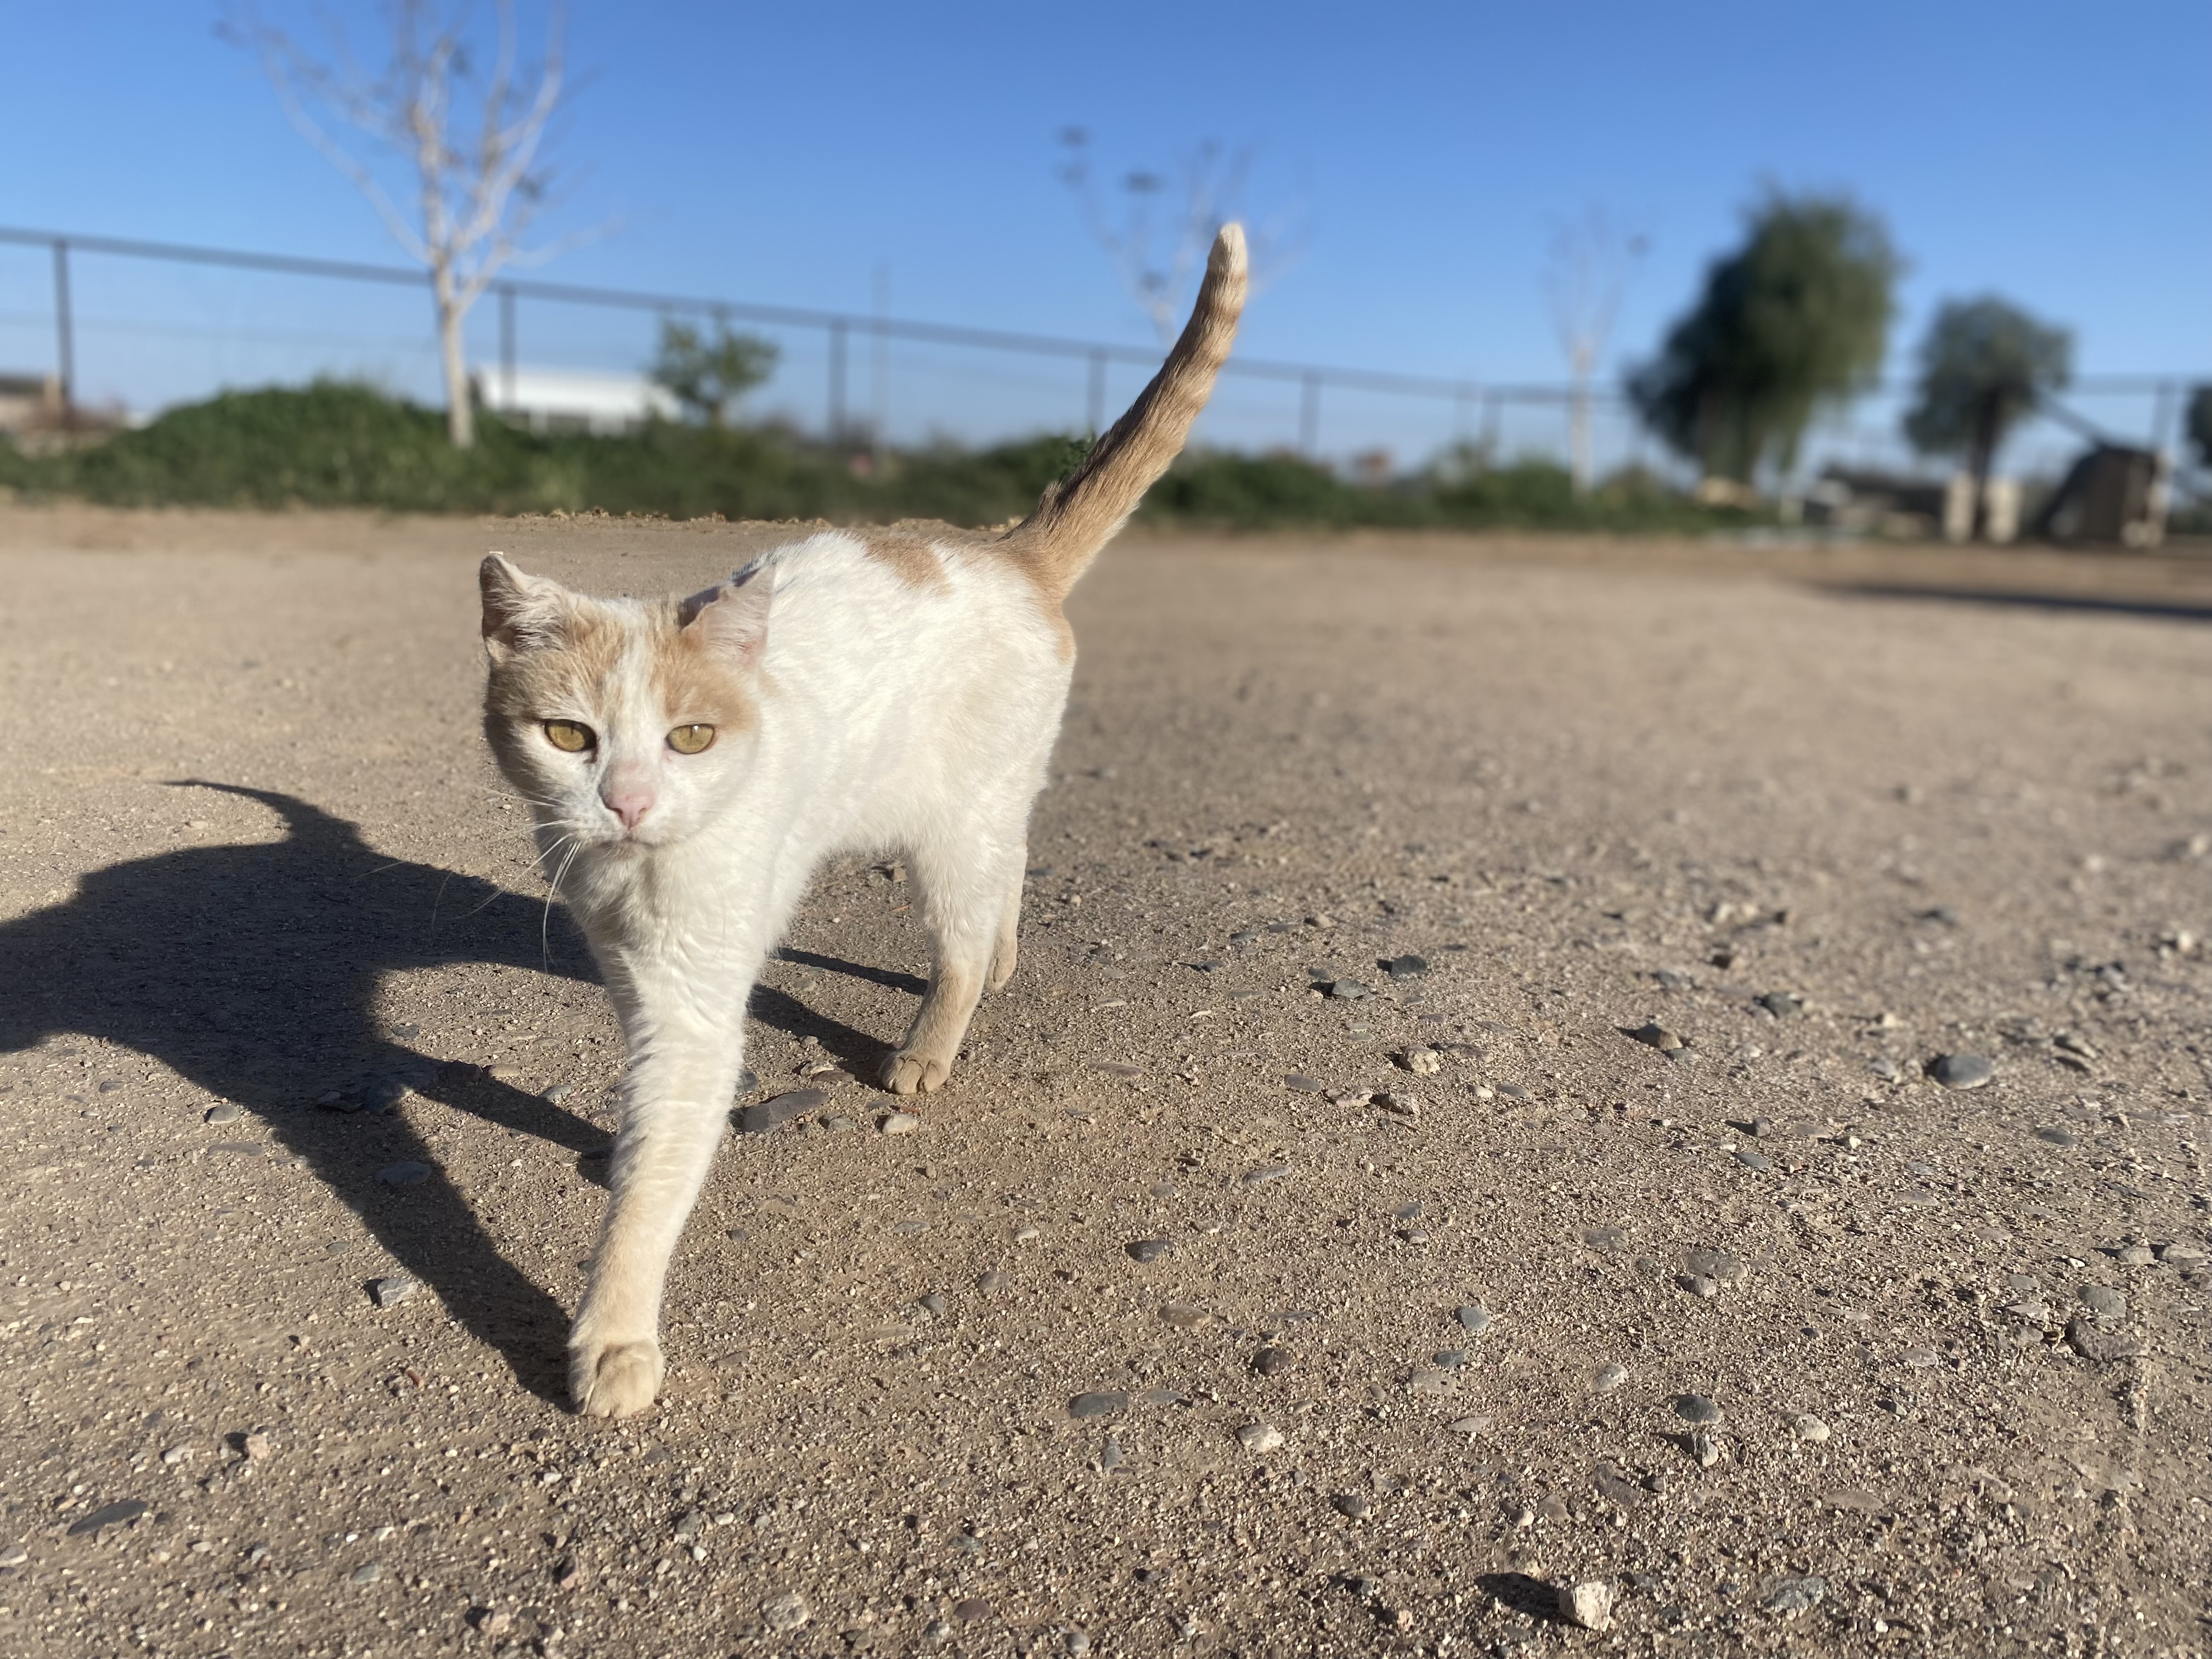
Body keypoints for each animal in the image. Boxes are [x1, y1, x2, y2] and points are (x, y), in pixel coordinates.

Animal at [478, 225, 1246, 1417]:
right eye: (570, 736)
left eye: (690, 737)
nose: (628, 800)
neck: (640, 871)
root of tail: (1007, 552)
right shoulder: (633, 976)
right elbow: (641, 1124)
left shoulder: (695, 1011)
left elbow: (654, 1178)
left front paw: (613, 1336)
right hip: (982, 806)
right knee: (1012, 866)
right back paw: (1005, 957)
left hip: (943, 835)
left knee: (964, 939)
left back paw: (934, 1040)